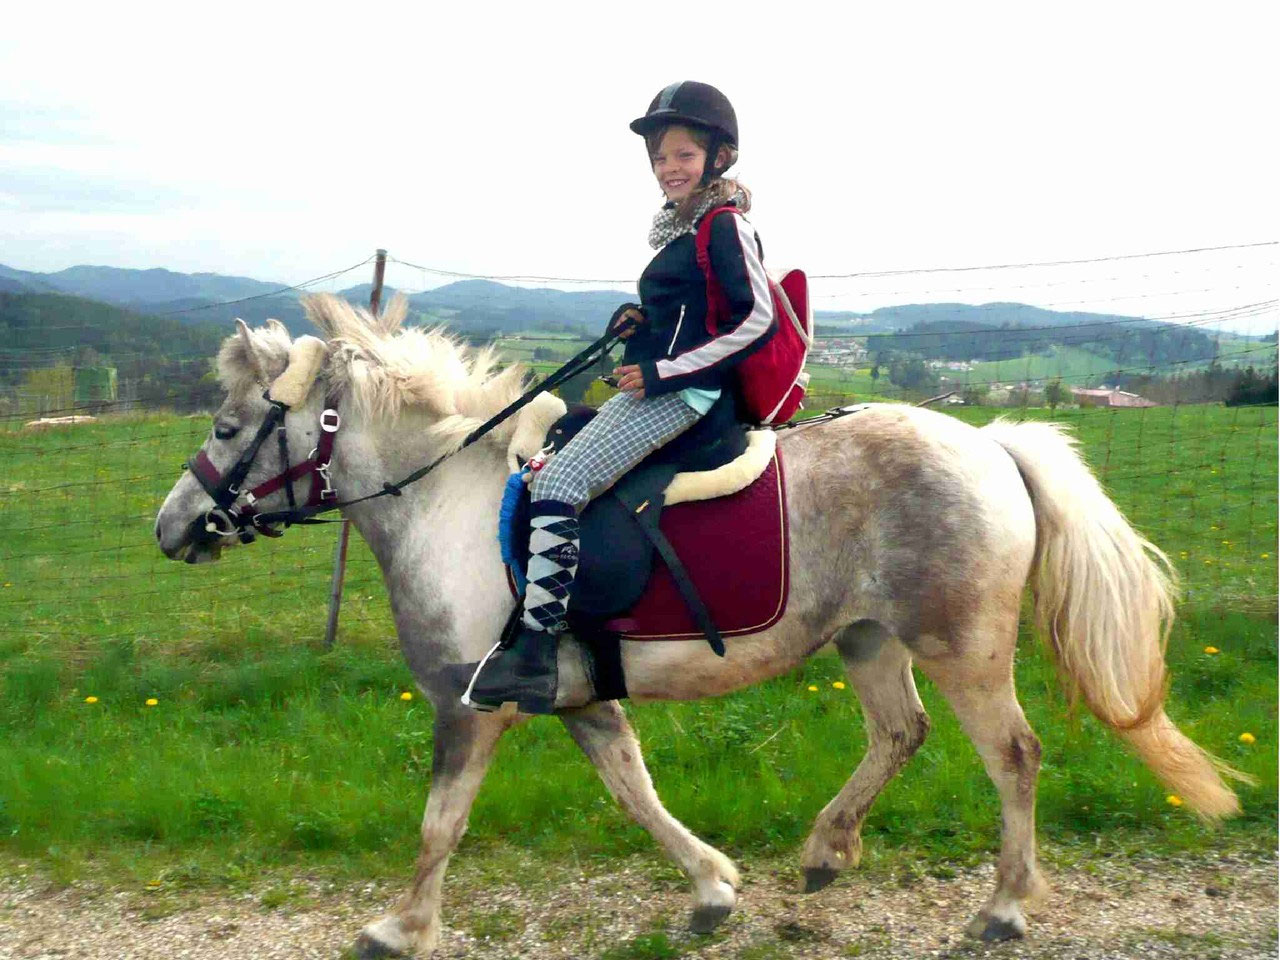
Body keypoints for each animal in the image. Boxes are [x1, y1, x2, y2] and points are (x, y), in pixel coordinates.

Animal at [154, 294, 1244, 958]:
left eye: (225, 426)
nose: (171, 528)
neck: (447, 499)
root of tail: (988, 443)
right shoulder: (577, 700)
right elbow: (633, 791)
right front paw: (714, 889)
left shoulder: (471, 708)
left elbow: (440, 821)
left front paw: (398, 926)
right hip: (866, 639)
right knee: (899, 733)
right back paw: (825, 850)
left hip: (959, 645)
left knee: (1012, 756)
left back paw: (1004, 905)